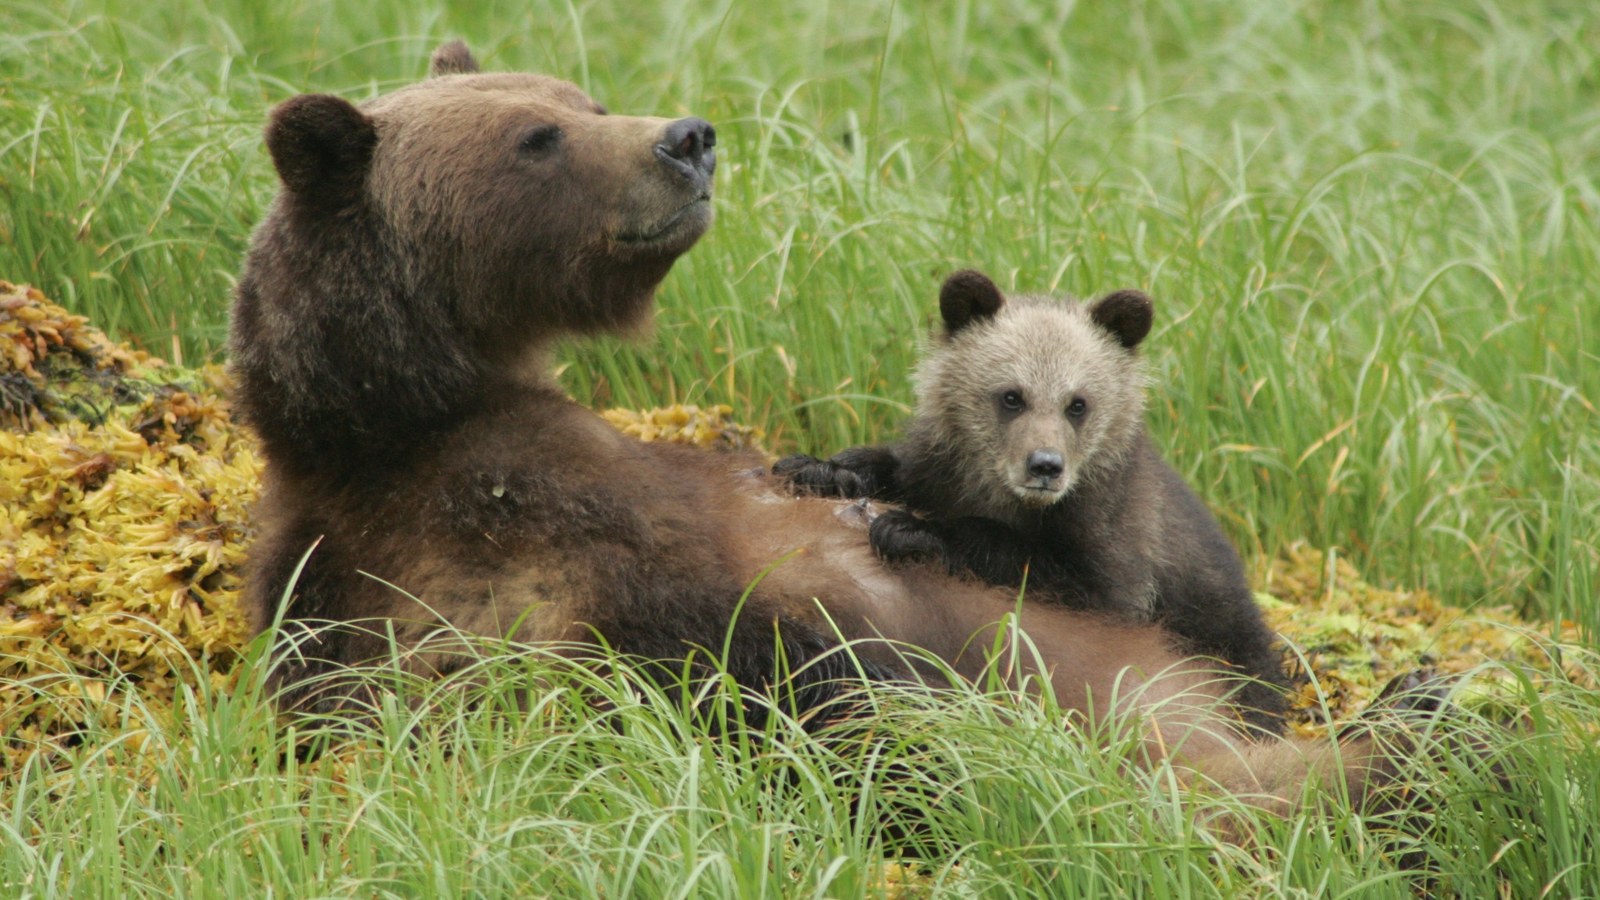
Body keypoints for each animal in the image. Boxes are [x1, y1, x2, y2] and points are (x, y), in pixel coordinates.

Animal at [775, 269, 1290, 731]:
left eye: (1077, 403)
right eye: (1011, 396)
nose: (1045, 465)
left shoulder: (1117, 536)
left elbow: (1072, 584)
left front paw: (910, 529)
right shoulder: (940, 470)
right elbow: (892, 469)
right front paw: (821, 469)